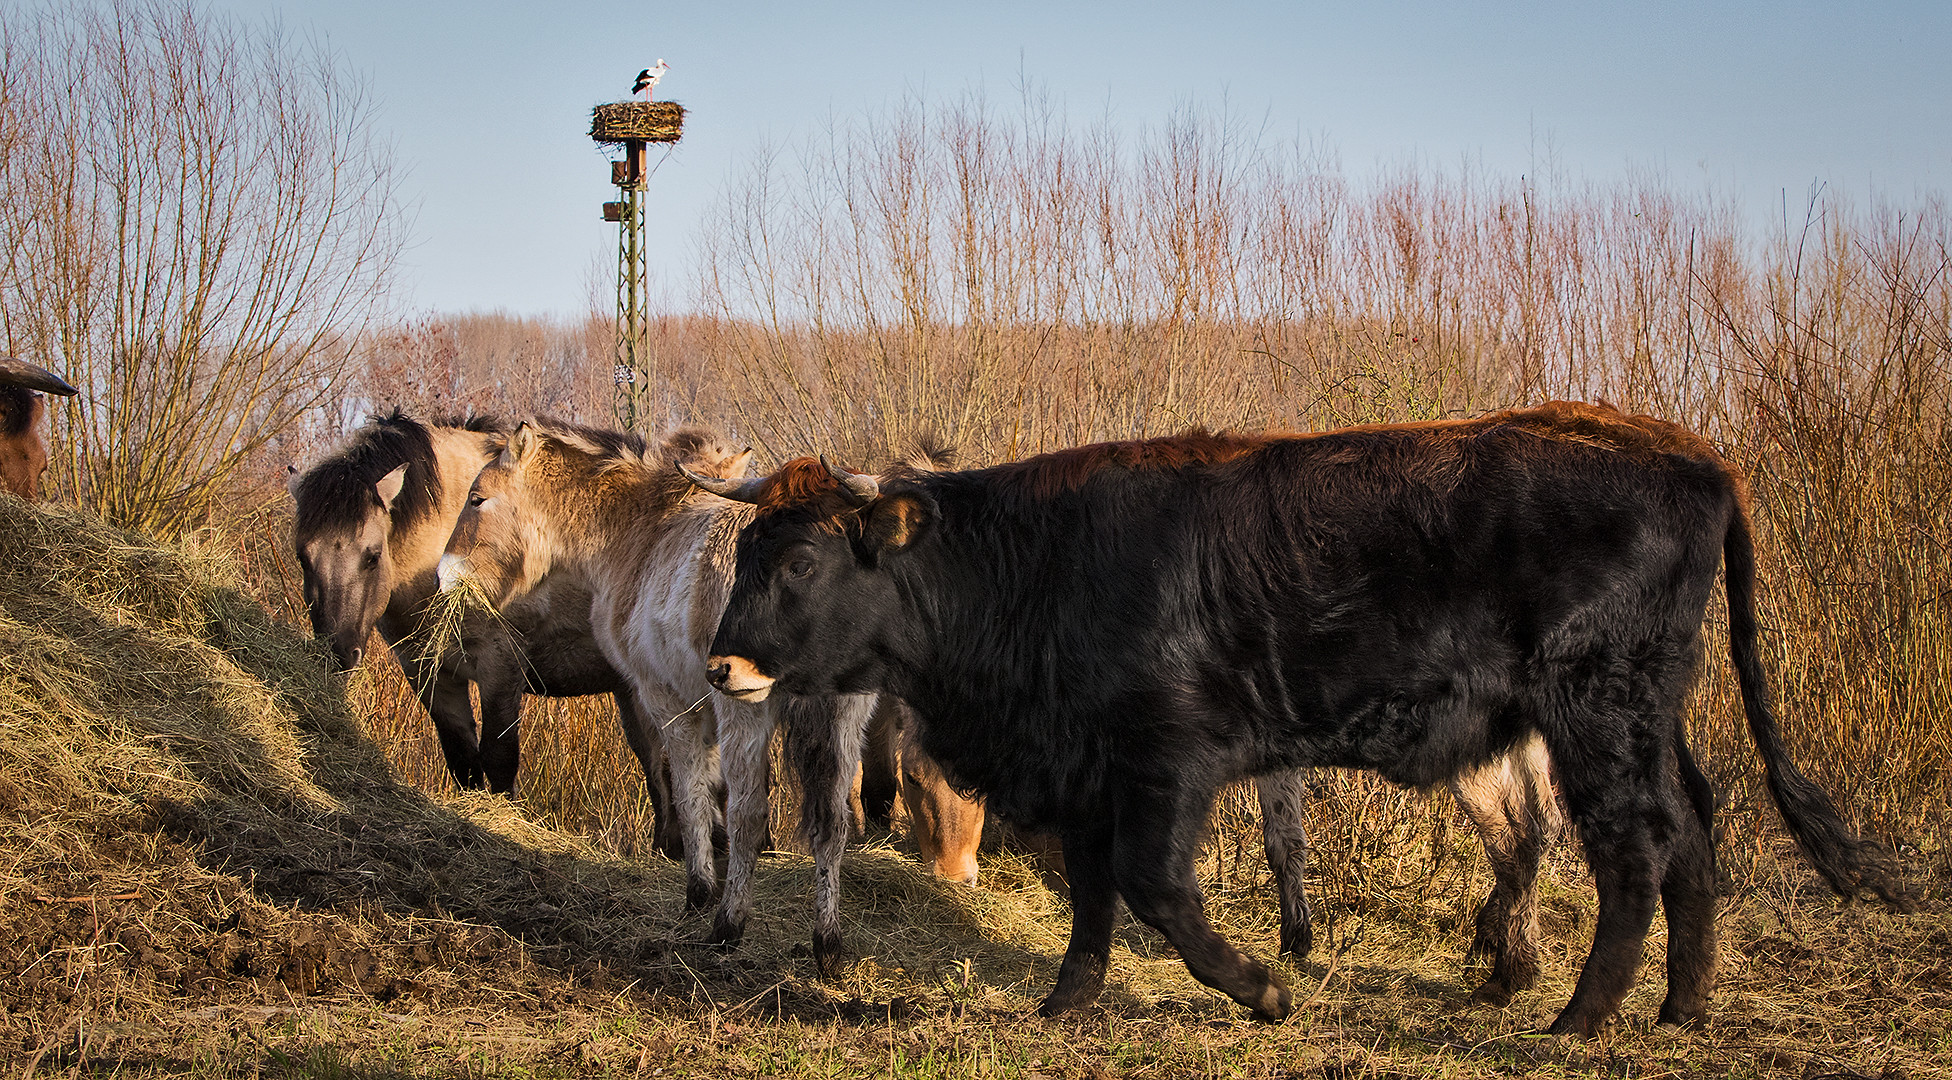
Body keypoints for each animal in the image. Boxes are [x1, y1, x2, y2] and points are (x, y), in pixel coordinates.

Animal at [691, 400, 1905, 1031]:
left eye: (799, 561)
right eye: (746, 552)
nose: (720, 663)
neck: (1036, 564)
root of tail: (1687, 453)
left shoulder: (1168, 763)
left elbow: (1155, 889)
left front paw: (1265, 989)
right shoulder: (1088, 768)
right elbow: (1093, 898)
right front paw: (1066, 1004)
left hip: (1593, 718)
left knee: (1635, 850)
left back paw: (1578, 1017)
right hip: (1649, 718)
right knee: (1691, 832)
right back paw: (1679, 1011)